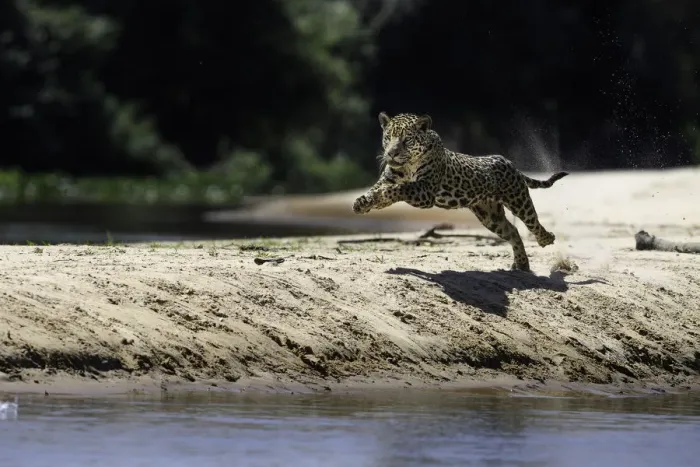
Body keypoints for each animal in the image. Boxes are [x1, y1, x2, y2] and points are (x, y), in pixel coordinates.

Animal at [352, 111, 569, 272]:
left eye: (406, 140)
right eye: (388, 138)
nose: (391, 153)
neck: (408, 165)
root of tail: (510, 163)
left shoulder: (425, 191)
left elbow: (401, 188)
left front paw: (381, 197)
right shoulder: (389, 178)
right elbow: (377, 189)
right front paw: (363, 202)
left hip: (518, 200)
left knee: (533, 222)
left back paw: (546, 239)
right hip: (490, 215)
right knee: (513, 231)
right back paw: (522, 264)